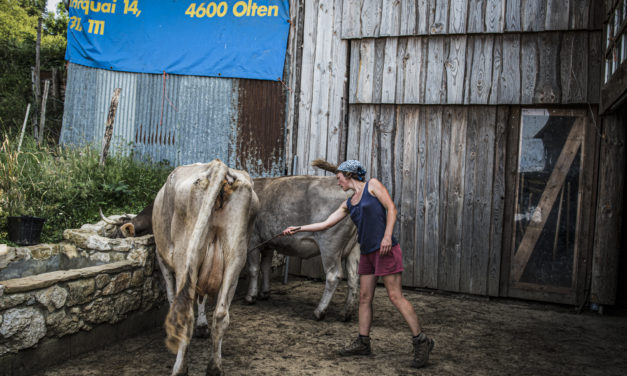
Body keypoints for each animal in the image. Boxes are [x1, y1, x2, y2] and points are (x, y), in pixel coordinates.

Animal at [153, 161, 258, 376]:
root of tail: (218, 166)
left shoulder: (162, 258)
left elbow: (171, 295)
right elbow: (202, 298)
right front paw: (203, 326)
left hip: (185, 256)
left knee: (186, 315)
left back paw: (180, 368)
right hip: (236, 254)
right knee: (221, 314)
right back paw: (214, 367)